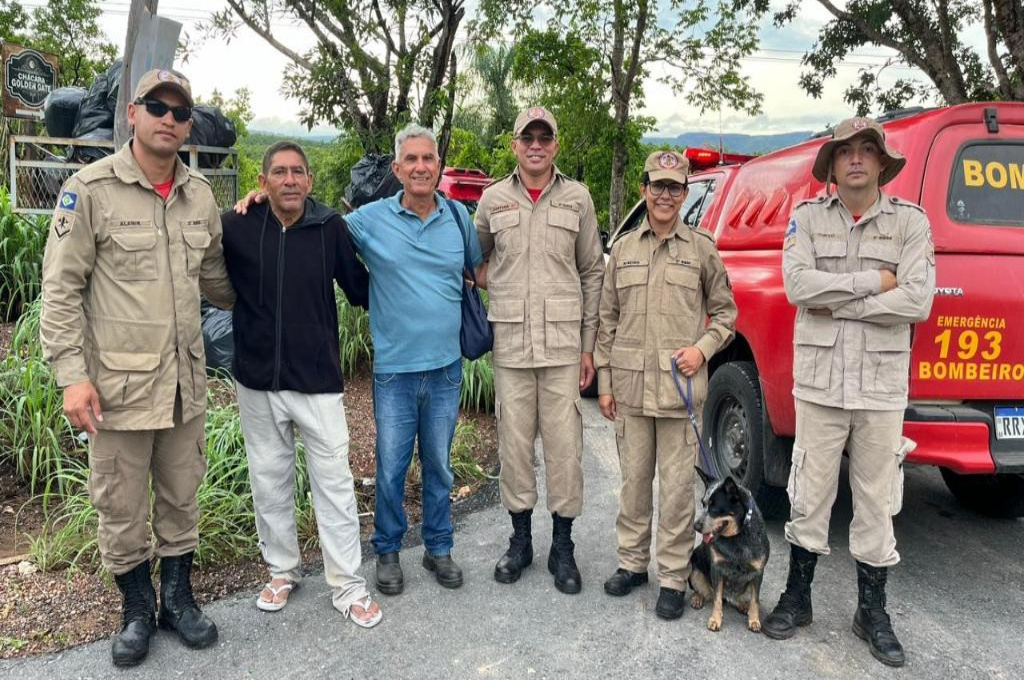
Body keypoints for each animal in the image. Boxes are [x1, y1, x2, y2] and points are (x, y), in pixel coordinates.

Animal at [688, 466, 770, 630]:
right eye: (703, 503)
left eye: (714, 508)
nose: (696, 526)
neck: (737, 537)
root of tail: (730, 597)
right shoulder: (717, 569)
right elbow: (717, 599)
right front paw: (715, 619)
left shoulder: (758, 572)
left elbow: (755, 600)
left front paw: (754, 619)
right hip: (694, 569)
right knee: (706, 592)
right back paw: (697, 598)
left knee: (741, 599)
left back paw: (743, 605)